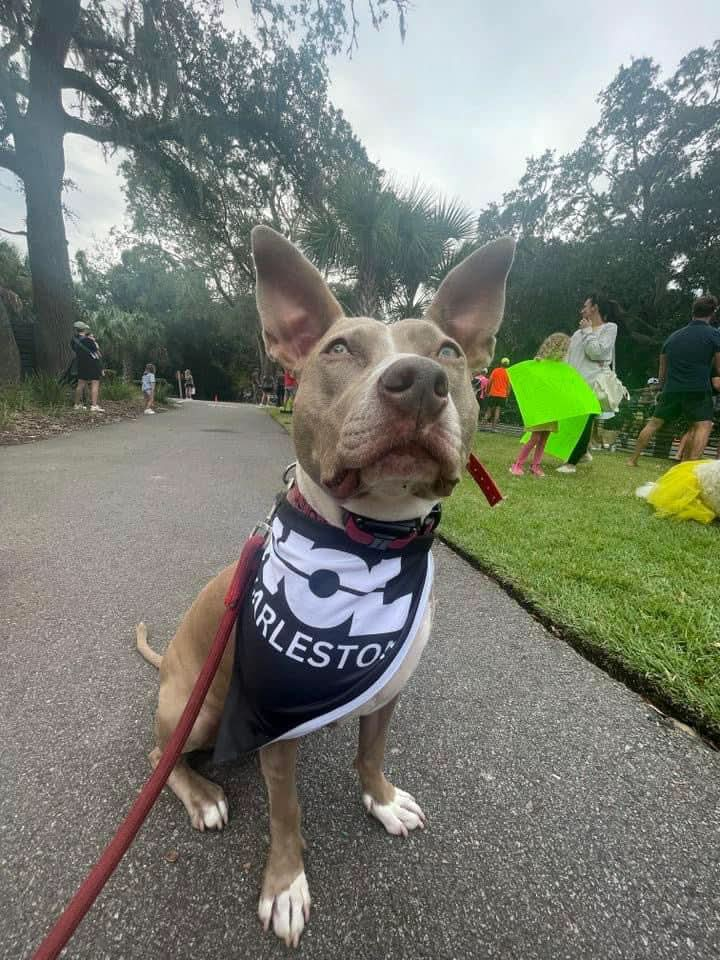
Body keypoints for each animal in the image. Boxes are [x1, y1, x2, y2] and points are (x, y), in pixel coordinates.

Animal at [138, 225, 516, 944]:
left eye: (449, 353)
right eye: (339, 349)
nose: (418, 382)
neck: (368, 542)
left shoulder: (388, 688)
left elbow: (372, 754)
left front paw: (383, 800)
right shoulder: (273, 728)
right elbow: (286, 813)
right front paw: (286, 885)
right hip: (199, 710)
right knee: (158, 758)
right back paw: (202, 795)